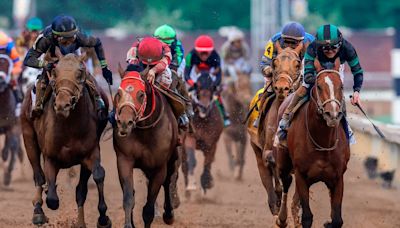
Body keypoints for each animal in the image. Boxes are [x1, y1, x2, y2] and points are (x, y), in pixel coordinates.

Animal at [20, 50, 110, 227]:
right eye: (55, 72)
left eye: (80, 72)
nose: (62, 105)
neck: (69, 126)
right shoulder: (50, 157)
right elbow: (52, 199)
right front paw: (46, 198)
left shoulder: (90, 154)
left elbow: (96, 177)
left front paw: (103, 218)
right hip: (28, 138)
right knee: (39, 176)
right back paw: (38, 212)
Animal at [113, 64, 180, 228]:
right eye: (118, 93)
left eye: (141, 94)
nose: (125, 123)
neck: (144, 131)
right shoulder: (124, 160)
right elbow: (128, 199)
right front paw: (128, 225)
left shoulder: (159, 167)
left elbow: (148, 209)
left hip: (172, 158)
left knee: (168, 181)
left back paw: (168, 215)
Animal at [245, 43, 302, 216]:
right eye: (274, 63)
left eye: (297, 64)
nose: (282, 88)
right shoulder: (267, 148)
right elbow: (271, 162)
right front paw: (277, 199)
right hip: (256, 147)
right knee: (265, 173)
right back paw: (274, 203)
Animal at [276, 58, 350, 227]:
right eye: (319, 86)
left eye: (341, 86)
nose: (332, 115)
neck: (322, 142)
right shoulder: (301, 175)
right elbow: (307, 217)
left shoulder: (338, 178)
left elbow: (337, 219)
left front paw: (329, 222)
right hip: (284, 163)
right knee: (286, 182)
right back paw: (282, 219)